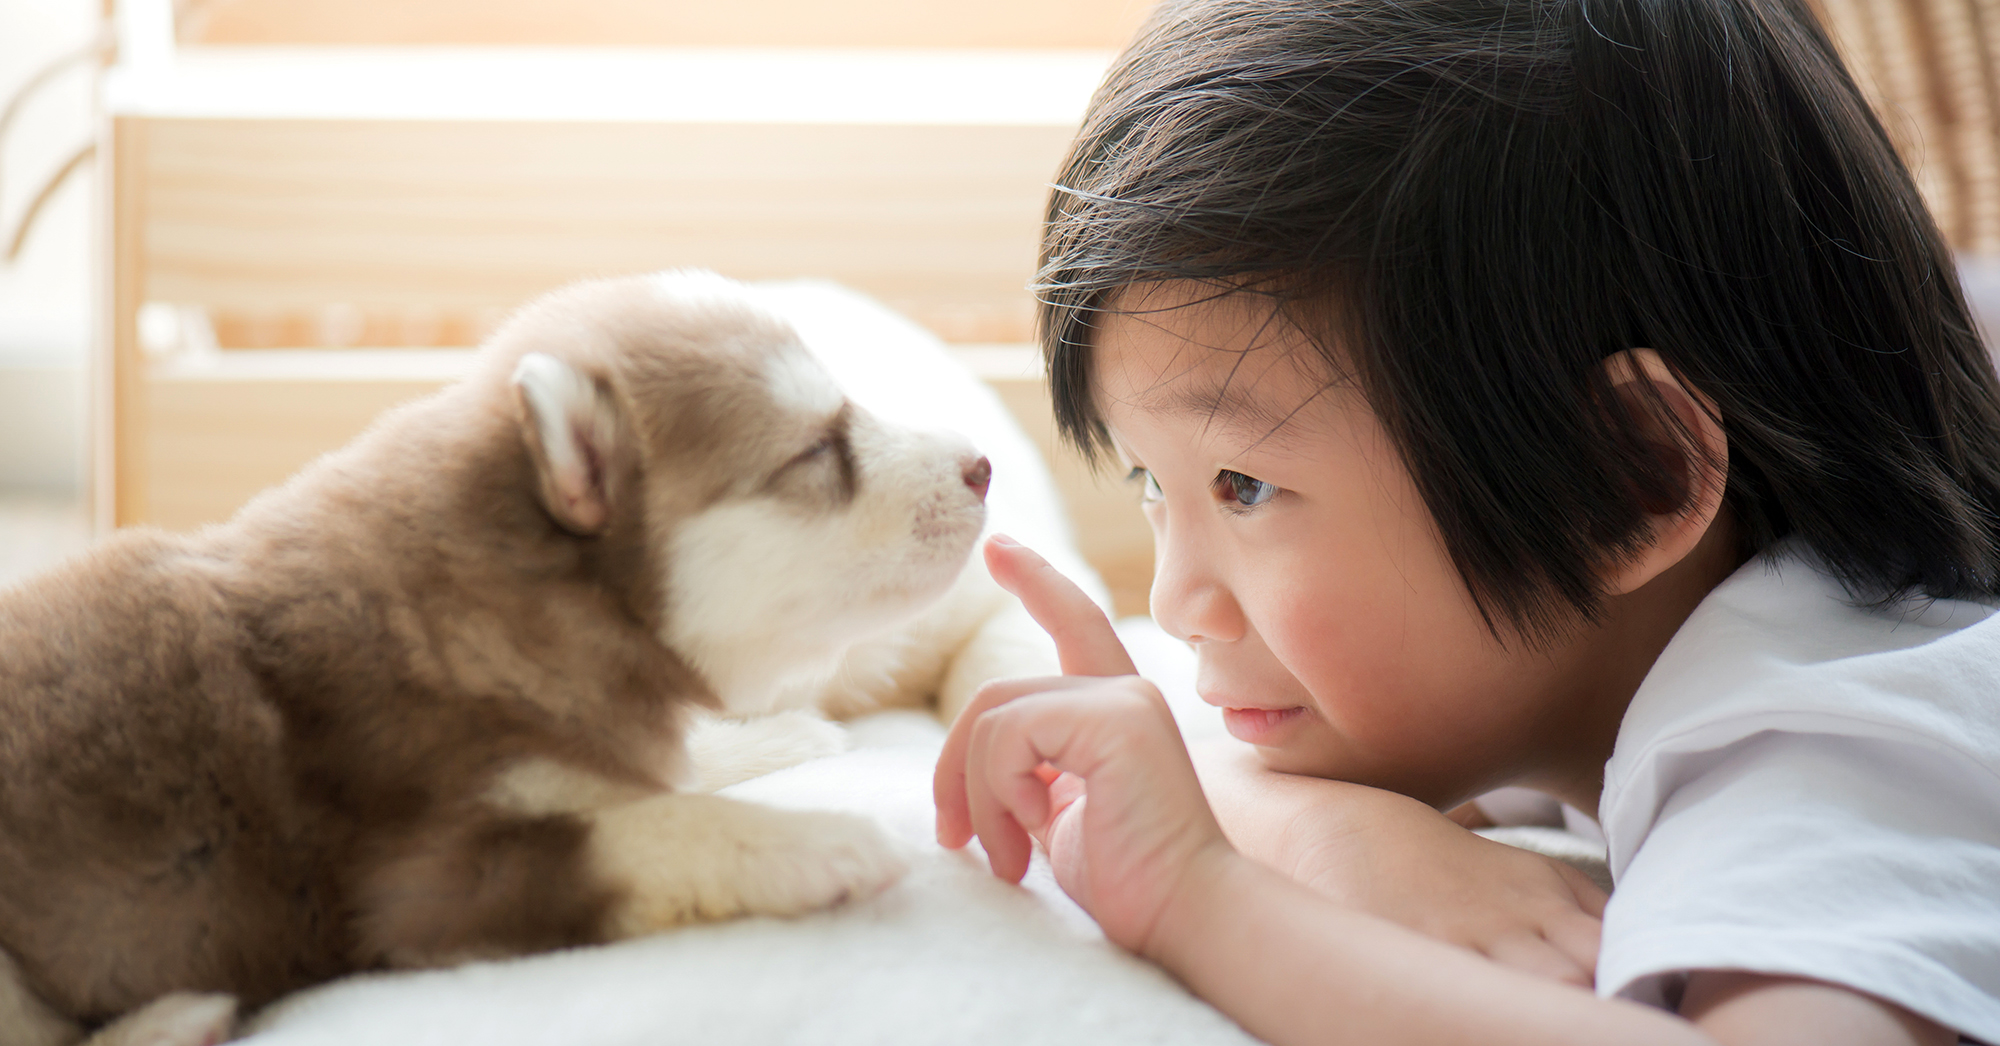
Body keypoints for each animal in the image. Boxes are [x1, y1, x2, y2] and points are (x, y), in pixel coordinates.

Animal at [0, 274, 992, 1040]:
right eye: (817, 451)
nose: (983, 465)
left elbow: (657, 777)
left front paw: (778, 736)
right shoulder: (422, 883)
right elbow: (649, 824)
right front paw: (823, 839)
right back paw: (176, 1017)